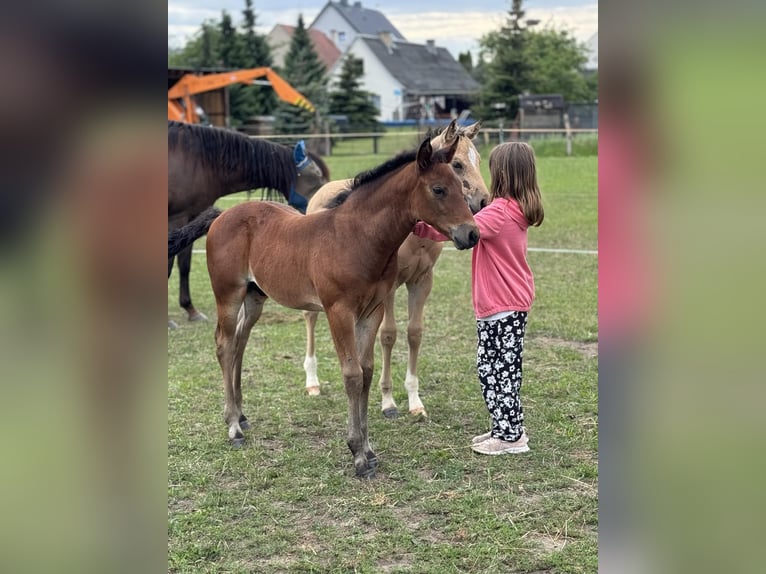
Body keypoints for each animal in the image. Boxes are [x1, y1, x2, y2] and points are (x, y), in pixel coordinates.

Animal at [168, 121, 328, 328]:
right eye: (317, 178)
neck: (196, 160)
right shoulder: (176, 219)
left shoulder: (191, 217)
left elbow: (184, 265)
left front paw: (191, 309)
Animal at [204, 137, 480, 480]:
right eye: (439, 189)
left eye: (459, 183)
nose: (472, 233)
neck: (356, 237)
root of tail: (222, 216)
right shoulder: (339, 311)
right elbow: (351, 375)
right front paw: (357, 454)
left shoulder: (372, 311)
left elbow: (367, 371)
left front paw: (369, 449)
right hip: (228, 294)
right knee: (225, 345)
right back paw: (233, 427)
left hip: (255, 296)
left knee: (241, 341)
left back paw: (242, 416)